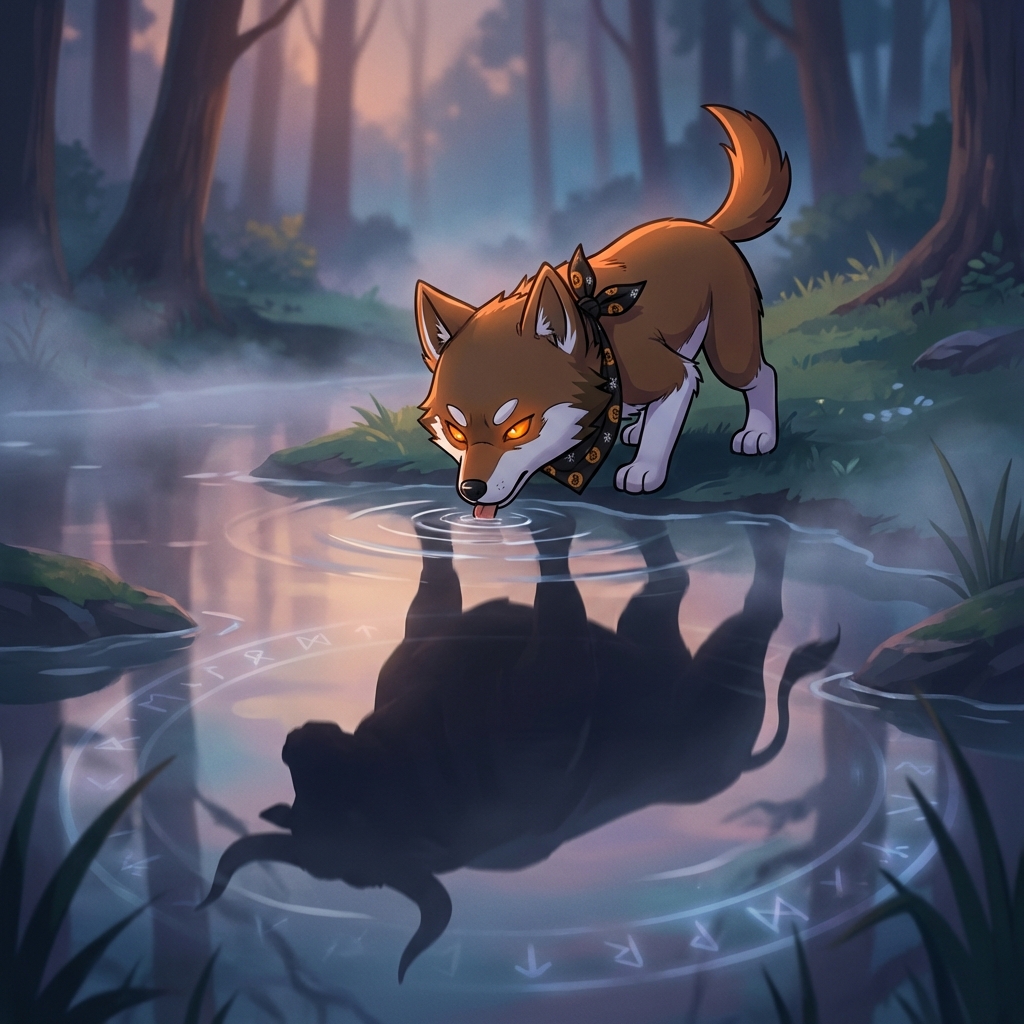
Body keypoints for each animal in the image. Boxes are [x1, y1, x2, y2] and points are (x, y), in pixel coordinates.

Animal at [415, 105, 791, 518]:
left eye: (517, 428)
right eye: (456, 433)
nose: (471, 489)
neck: (601, 345)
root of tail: (704, 226)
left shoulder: (671, 372)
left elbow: (667, 417)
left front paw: (645, 469)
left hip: (729, 352)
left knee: (763, 374)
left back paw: (759, 433)